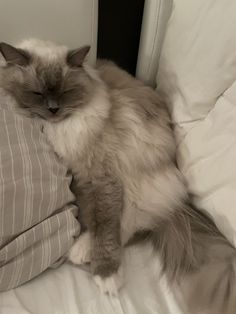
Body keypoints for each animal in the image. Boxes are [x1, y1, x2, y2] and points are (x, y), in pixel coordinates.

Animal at [0, 39, 236, 314]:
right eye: (37, 93)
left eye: (67, 91)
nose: (53, 110)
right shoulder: (82, 178)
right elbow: (97, 220)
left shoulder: (102, 179)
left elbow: (106, 228)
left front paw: (106, 276)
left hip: (135, 182)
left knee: (128, 224)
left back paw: (81, 251)